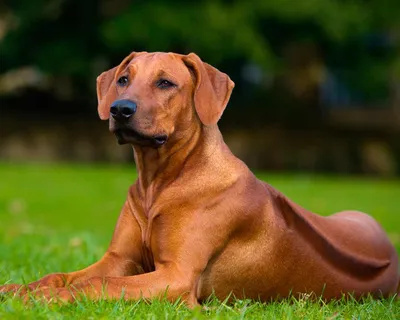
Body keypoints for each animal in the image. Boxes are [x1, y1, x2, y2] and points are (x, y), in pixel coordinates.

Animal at [0, 50, 400, 304]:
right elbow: (67, 275)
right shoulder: (117, 257)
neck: (159, 183)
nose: (119, 109)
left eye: (165, 83)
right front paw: (21, 289)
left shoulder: (176, 277)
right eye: (123, 80)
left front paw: (47, 298)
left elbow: (100, 283)